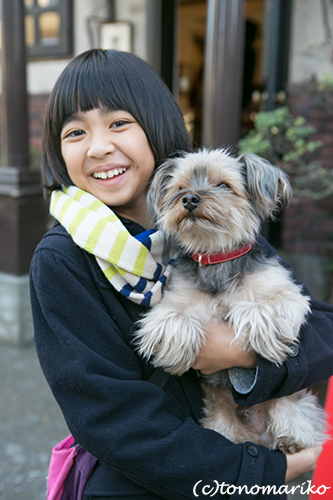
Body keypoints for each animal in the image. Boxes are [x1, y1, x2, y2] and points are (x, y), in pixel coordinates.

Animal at [134, 147, 324, 454]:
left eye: (223, 185)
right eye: (180, 188)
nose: (189, 199)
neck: (217, 257)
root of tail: (257, 435)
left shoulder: (285, 291)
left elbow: (264, 306)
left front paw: (264, 330)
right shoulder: (176, 298)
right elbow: (173, 315)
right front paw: (175, 346)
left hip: (294, 401)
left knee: (294, 413)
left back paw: (290, 440)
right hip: (219, 423)